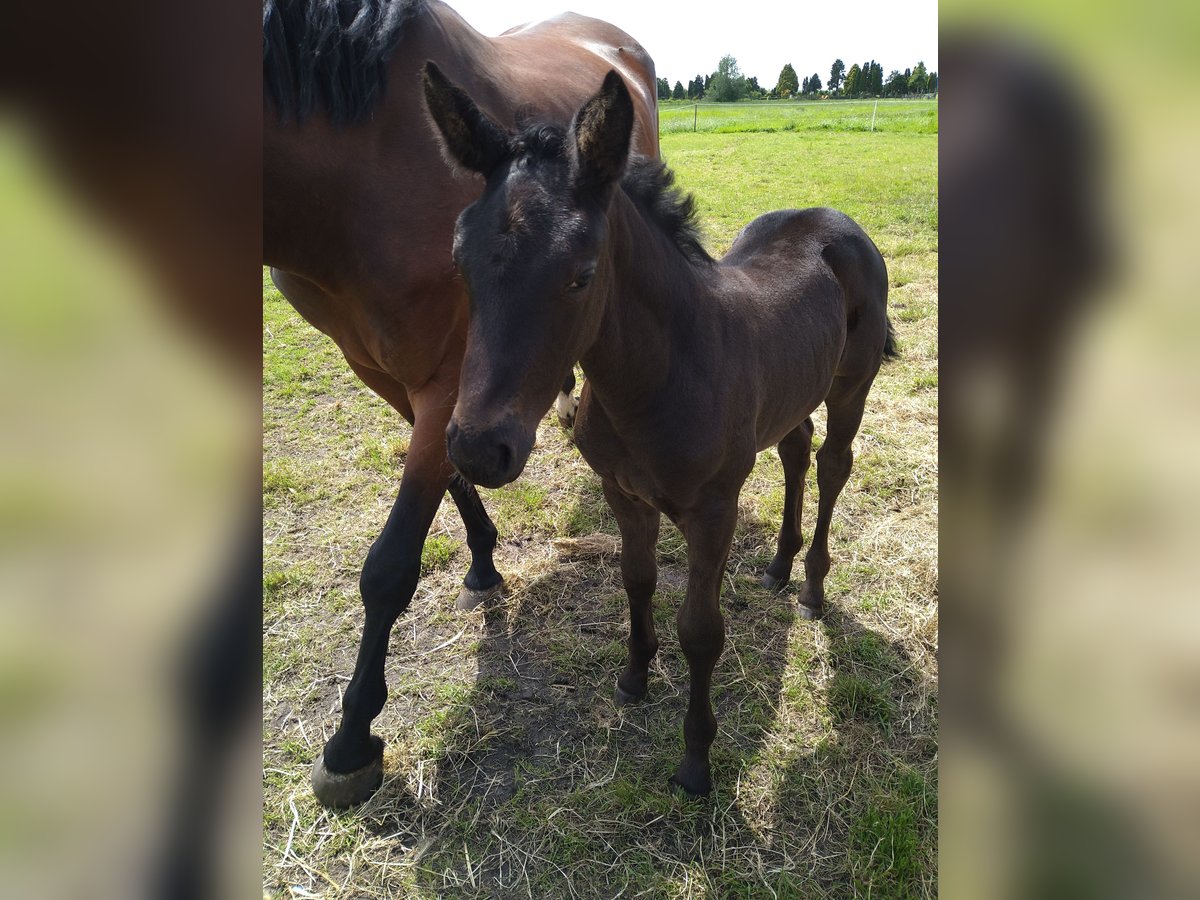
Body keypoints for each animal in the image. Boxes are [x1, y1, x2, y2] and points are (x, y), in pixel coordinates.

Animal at [427, 65, 897, 796]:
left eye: (581, 275)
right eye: (460, 262)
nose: (478, 448)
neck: (654, 382)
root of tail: (835, 219)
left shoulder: (713, 511)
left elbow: (701, 631)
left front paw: (696, 760)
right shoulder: (622, 492)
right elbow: (636, 579)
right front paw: (634, 676)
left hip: (852, 386)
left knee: (832, 464)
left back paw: (813, 585)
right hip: (792, 389)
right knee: (795, 450)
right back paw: (779, 565)